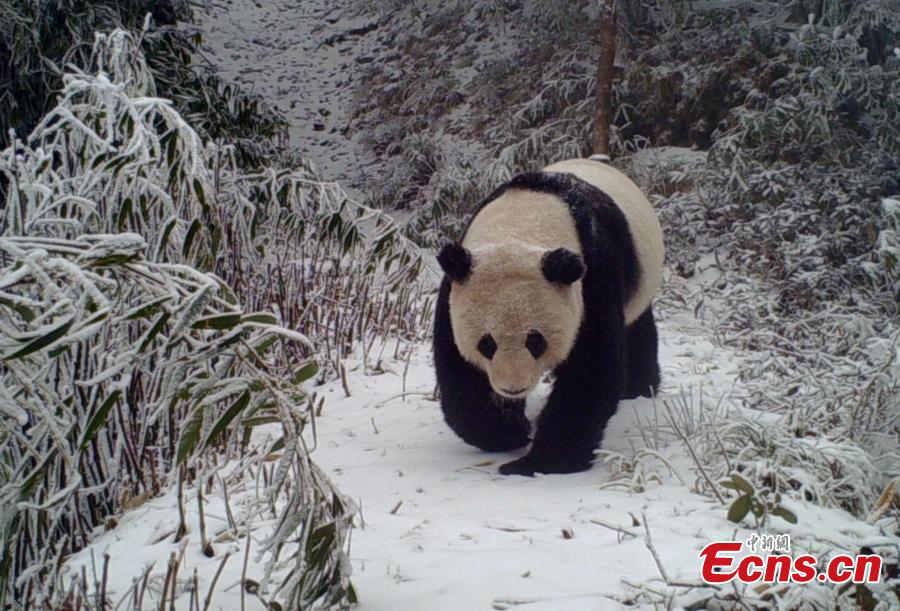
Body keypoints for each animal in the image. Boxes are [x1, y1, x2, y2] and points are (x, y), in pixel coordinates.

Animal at [433, 158, 664, 476]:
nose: (513, 388)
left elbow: (590, 367)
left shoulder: (594, 273)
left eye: (536, 341)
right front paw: (507, 432)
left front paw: (539, 462)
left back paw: (639, 388)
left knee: (637, 329)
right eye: (487, 344)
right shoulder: (457, 286)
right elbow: (459, 370)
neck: (523, 224)